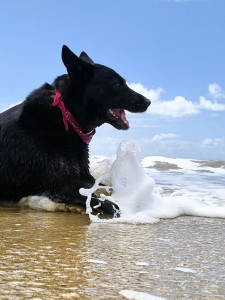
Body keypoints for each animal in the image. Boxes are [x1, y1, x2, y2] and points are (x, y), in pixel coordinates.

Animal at [0, 45, 151, 213]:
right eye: (117, 84)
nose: (148, 101)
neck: (66, 115)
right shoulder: (64, 184)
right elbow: (104, 203)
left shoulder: (85, 177)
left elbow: (105, 188)